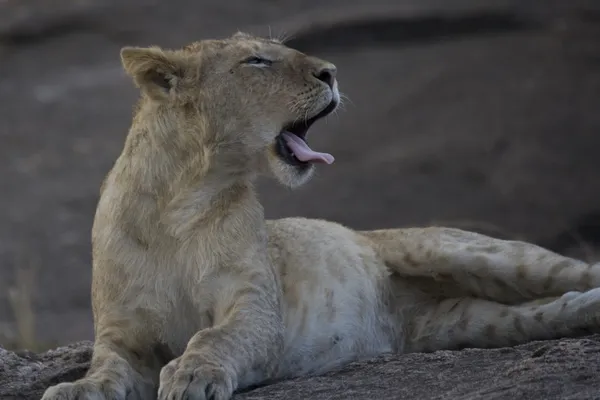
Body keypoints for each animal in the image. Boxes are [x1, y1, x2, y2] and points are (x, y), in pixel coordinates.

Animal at [42, 32, 600, 400]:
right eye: (257, 61)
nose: (331, 71)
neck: (181, 200)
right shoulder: (122, 332)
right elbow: (107, 368)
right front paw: (76, 388)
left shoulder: (256, 307)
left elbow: (214, 337)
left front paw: (192, 375)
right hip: (470, 323)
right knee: (545, 311)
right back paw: (583, 310)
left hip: (465, 251)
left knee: (570, 271)